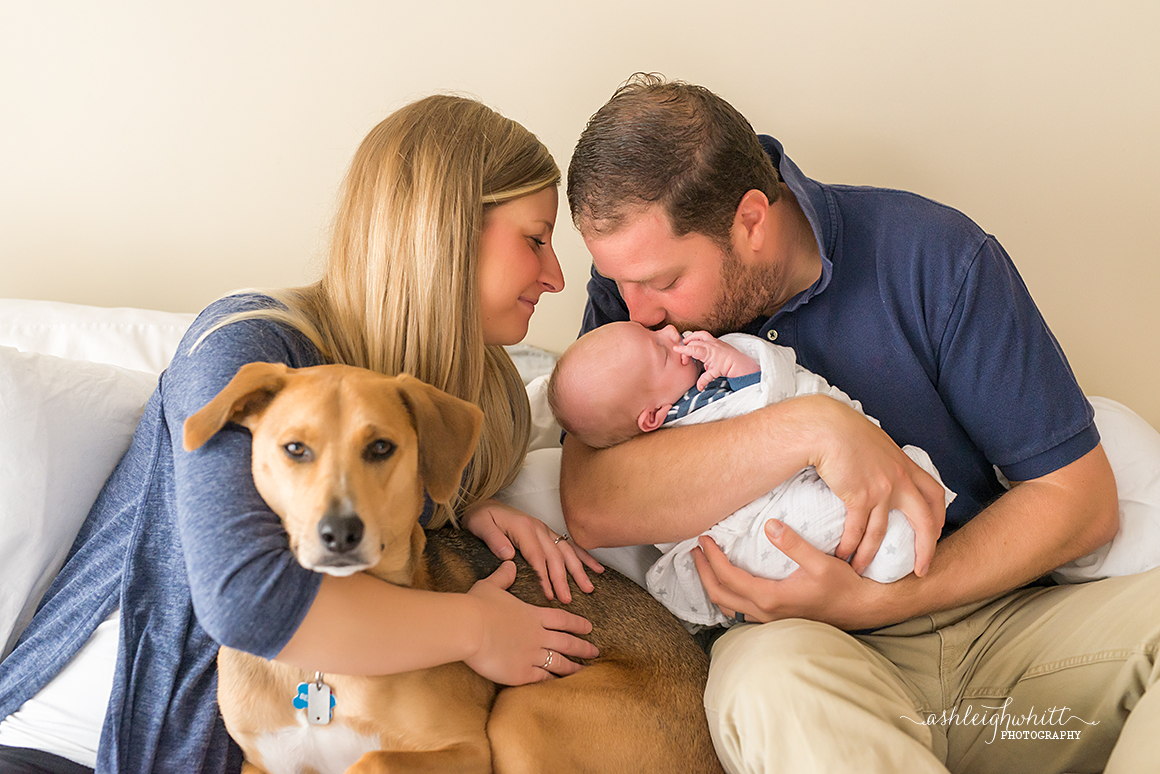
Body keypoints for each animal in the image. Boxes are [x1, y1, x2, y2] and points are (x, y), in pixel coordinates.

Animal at [184, 364, 719, 774]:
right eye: (295, 448)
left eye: (381, 447)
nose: (339, 534)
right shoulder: (262, 763)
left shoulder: (466, 751)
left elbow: (371, 760)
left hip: (520, 712)